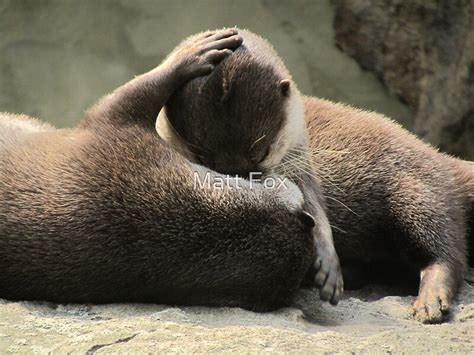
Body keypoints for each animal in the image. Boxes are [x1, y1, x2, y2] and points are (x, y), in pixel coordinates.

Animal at [157, 29, 472, 324]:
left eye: (261, 152)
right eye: (203, 160)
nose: (245, 193)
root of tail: (437, 155)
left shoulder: (302, 168)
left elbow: (317, 212)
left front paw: (329, 266)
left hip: (416, 190)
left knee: (447, 249)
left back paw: (430, 301)